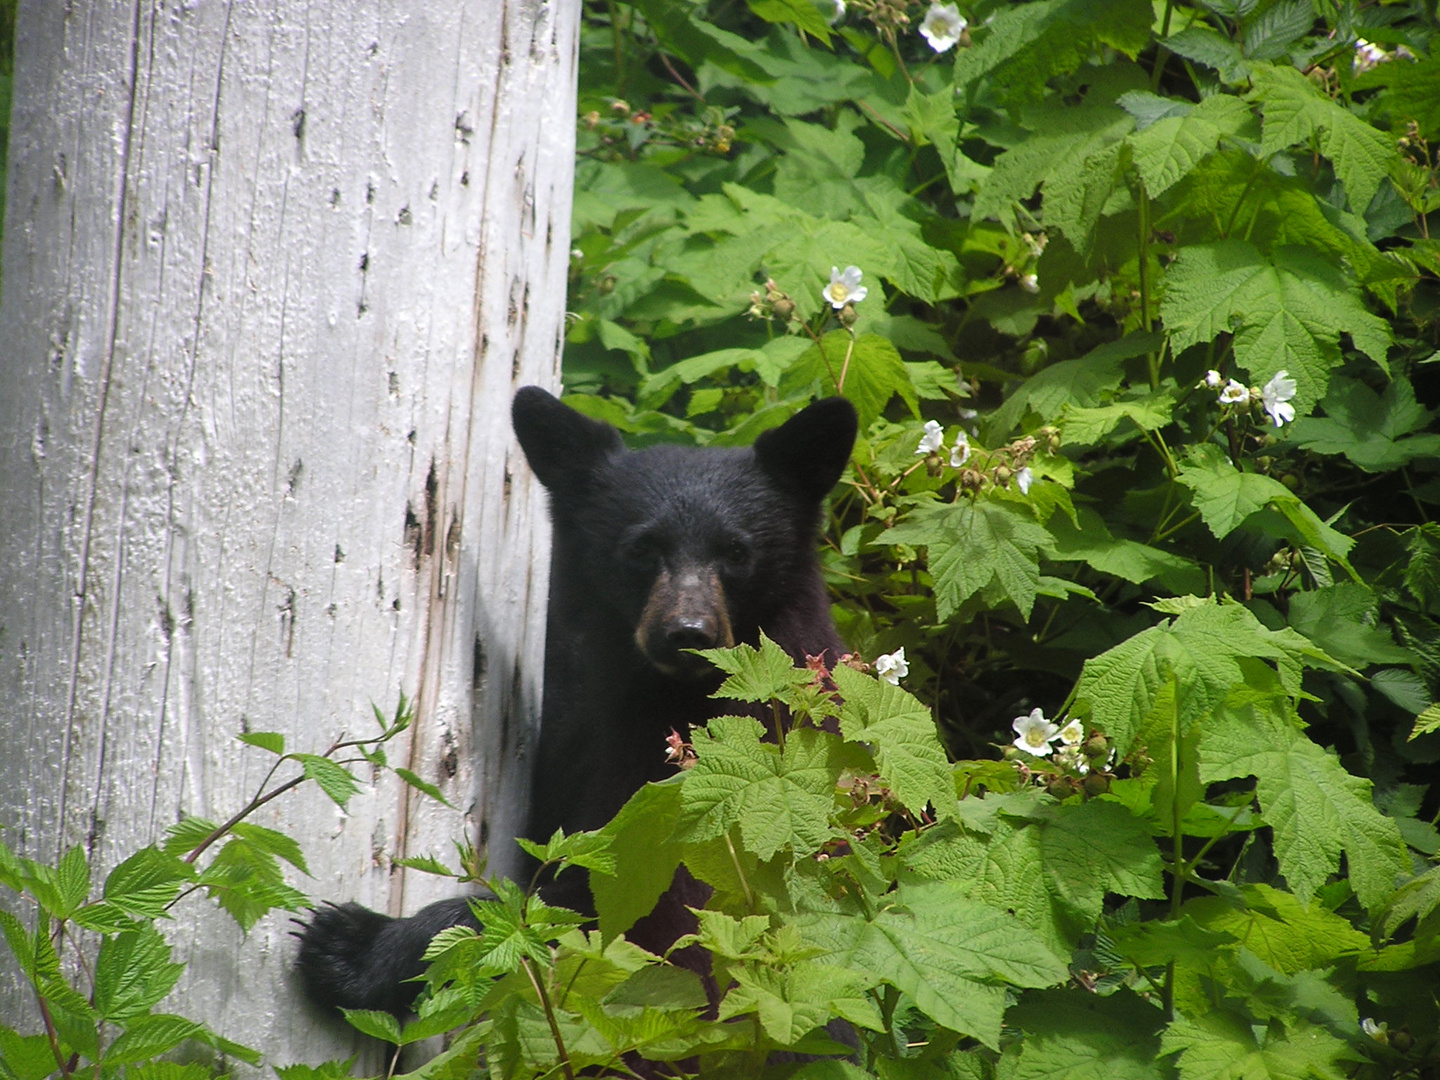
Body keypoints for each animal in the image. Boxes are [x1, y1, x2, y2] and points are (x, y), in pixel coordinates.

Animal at [295, 385, 852, 1013]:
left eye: (735, 551)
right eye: (642, 547)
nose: (688, 632)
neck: (670, 699)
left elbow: (601, 912)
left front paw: (353, 945)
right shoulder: (587, 752)